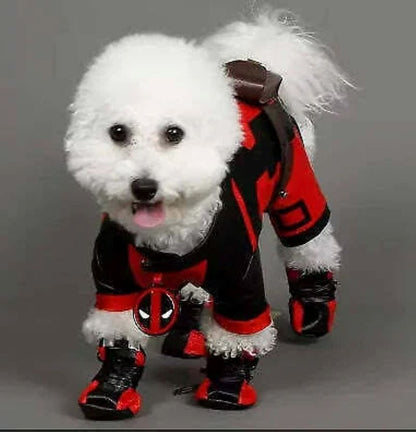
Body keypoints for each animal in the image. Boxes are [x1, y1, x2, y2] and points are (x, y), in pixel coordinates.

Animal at [66, 11, 348, 420]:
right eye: (117, 132)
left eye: (174, 133)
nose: (144, 186)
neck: (169, 237)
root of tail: (255, 69)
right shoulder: (115, 282)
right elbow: (120, 334)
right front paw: (110, 388)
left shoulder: (240, 281)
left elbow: (237, 335)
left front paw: (227, 386)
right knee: (195, 289)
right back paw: (190, 332)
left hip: (296, 189)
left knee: (309, 243)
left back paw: (314, 307)